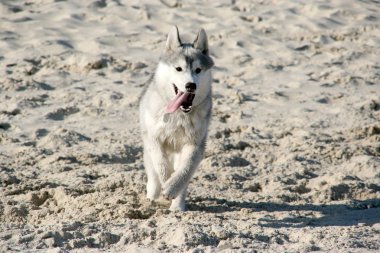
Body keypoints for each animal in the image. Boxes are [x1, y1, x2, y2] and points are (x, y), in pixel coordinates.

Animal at [140, 26, 215, 211]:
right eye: (178, 68)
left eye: (198, 70)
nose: (190, 85)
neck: (179, 114)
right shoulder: (153, 138)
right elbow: (161, 164)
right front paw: (165, 182)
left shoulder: (195, 144)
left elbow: (185, 170)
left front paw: (172, 189)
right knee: (153, 173)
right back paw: (153, 195)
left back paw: (177, 207)